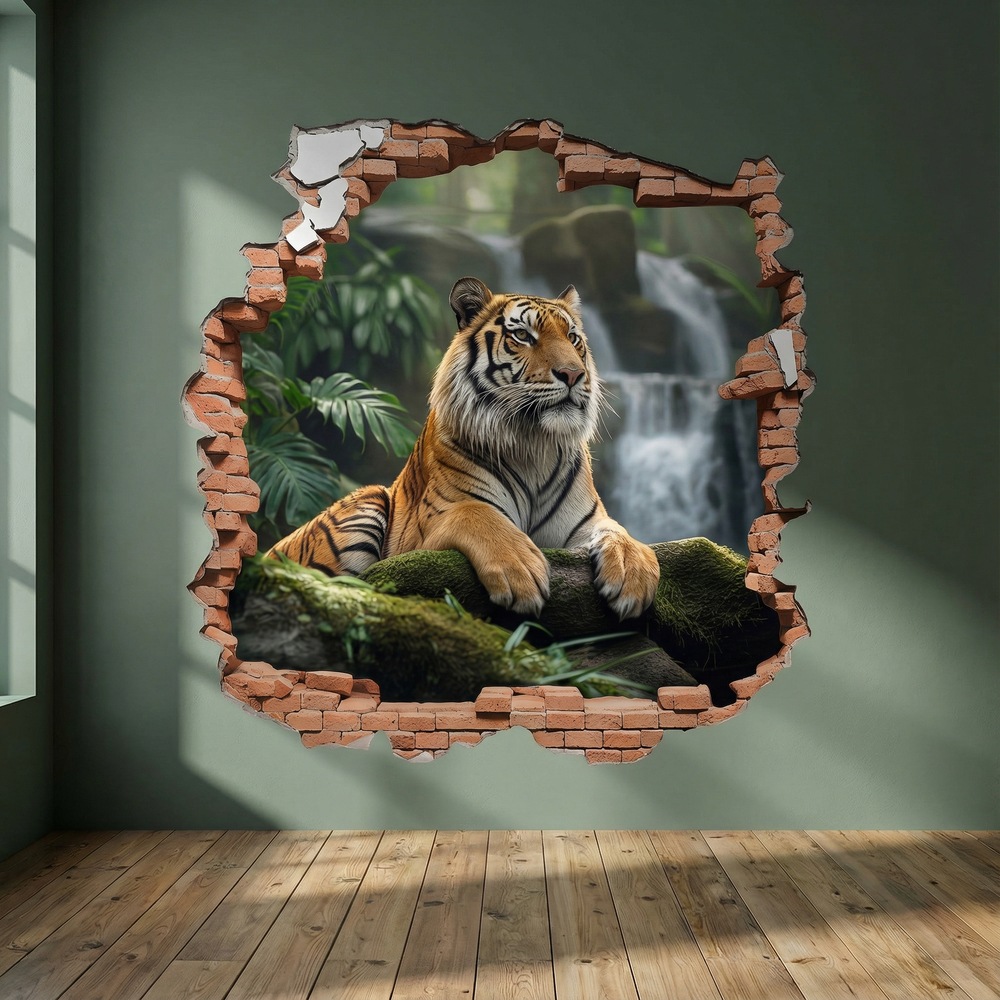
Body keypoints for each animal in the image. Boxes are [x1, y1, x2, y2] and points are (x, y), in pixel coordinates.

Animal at [267, 276, 660, 621]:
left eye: (573, 338)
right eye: (523, 335)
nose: (574, 374)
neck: (534, 443)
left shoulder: (584, 524)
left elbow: (619, 530)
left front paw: (634, 574)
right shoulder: (425, 534)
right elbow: (476, 513)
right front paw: (521, 569)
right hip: (368, 500)